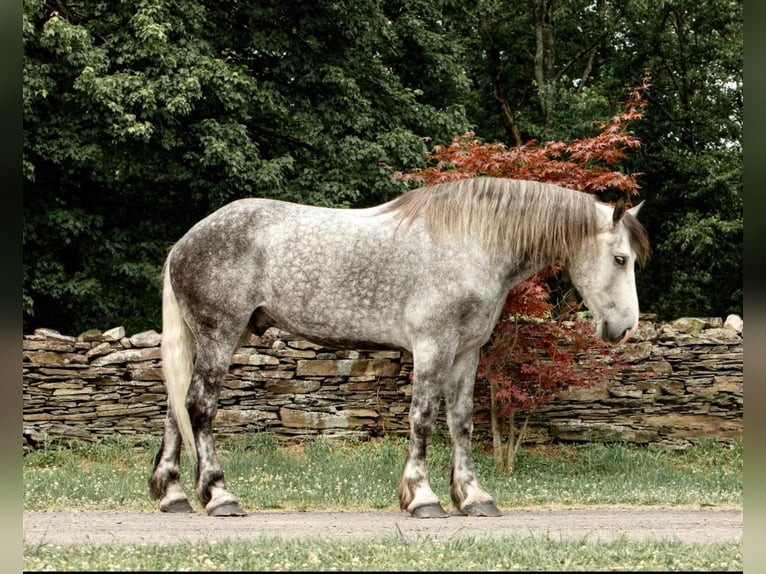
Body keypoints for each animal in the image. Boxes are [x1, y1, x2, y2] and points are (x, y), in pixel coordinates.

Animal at [148, 178, 648, 520]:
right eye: (620, 258)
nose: (625, 329)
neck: (471, 243)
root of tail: (184, 243)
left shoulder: (465, 353)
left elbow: (461, 422)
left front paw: (473, 496)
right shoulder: (433, 347)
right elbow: (423, 418)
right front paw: (422, 497)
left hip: (209, 339)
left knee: (176, 408)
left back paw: (174, 495)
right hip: (219, 335)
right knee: (200, 407)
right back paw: (219, 495)